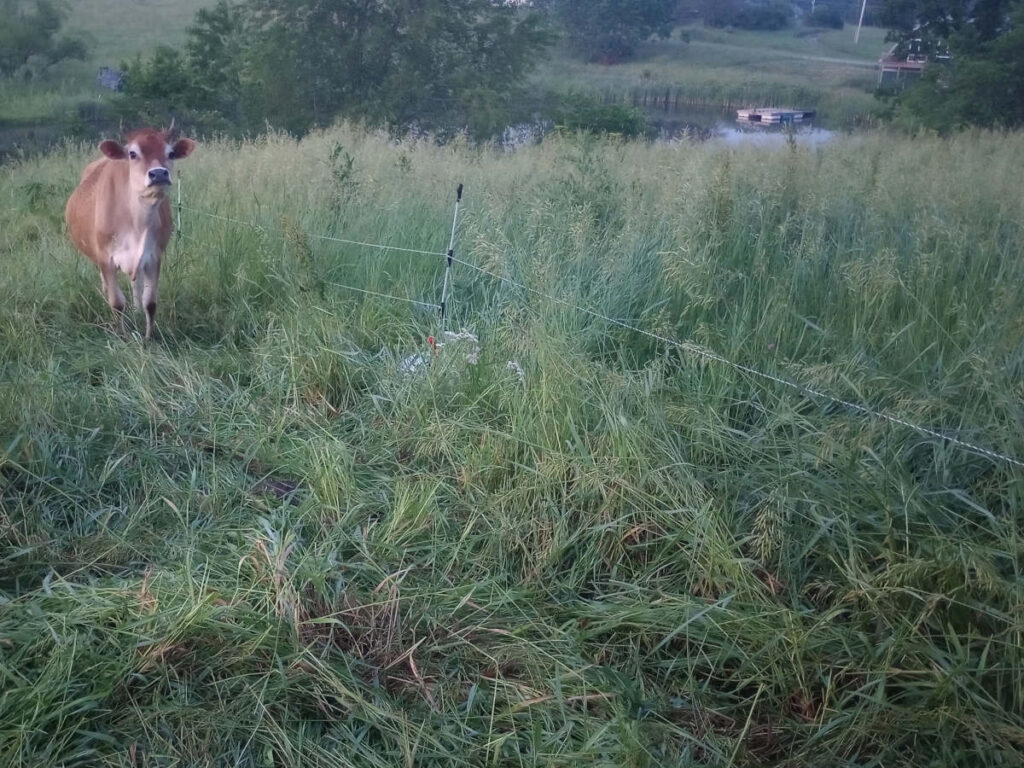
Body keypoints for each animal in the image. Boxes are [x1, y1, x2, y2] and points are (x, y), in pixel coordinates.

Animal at [65, 126, 195, 339]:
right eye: (132, 154)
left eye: (170, 153)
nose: (158, 173)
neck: (136, 223)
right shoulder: (105, 258)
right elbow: (117, 303)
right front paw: (122, 336)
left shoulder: (154, 256)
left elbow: (150, 302)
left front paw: (148, 338)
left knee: (136, 284)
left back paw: (136, 310)